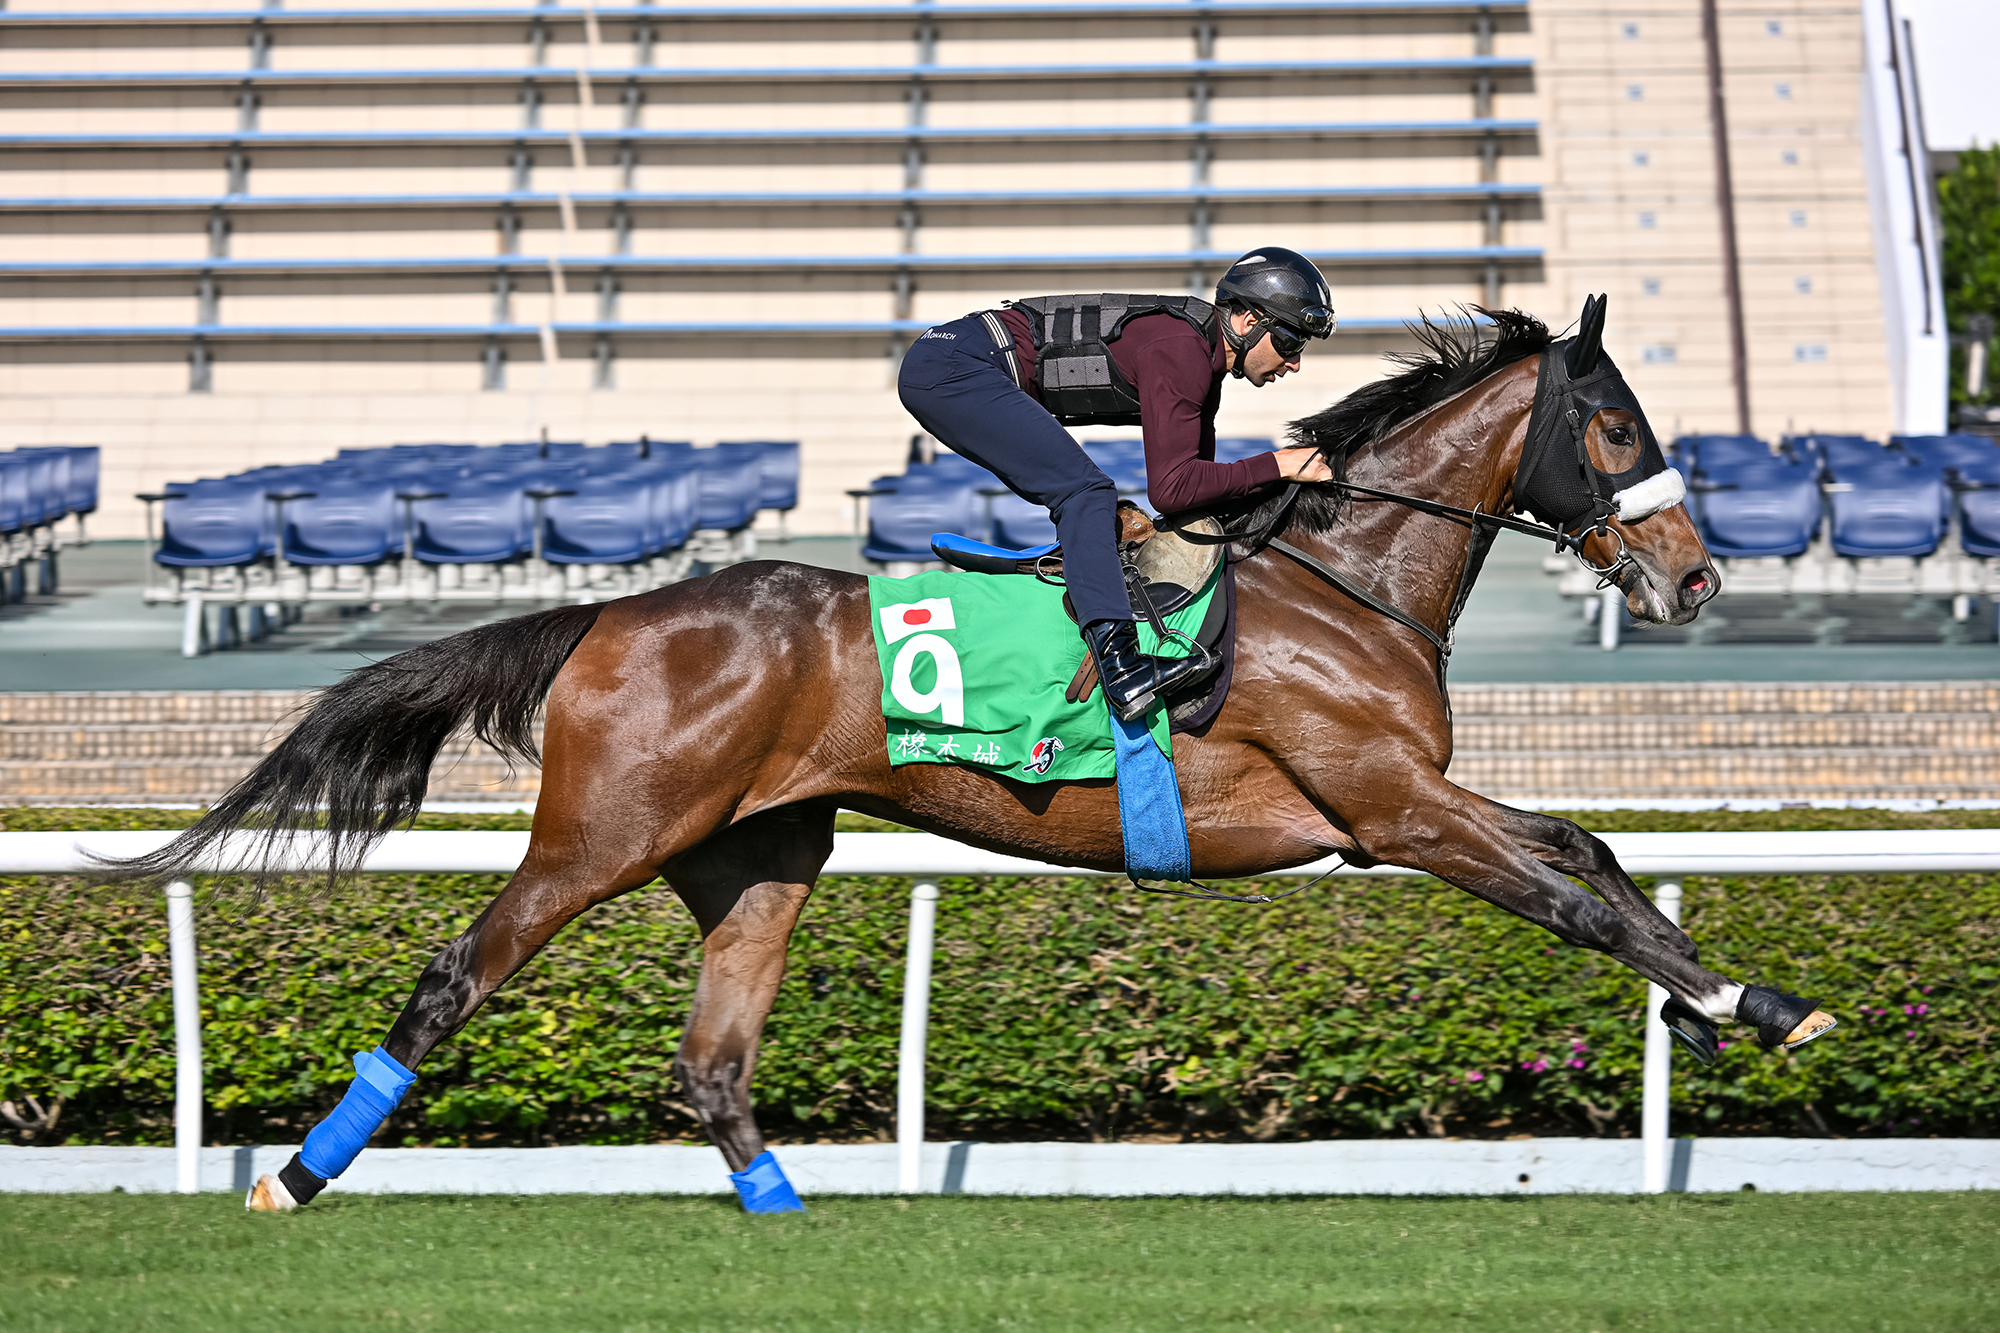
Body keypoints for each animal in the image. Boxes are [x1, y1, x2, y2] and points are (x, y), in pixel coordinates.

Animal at [117, 304, 1832, 1200]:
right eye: (1613, 428)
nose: (1696, 580)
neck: (1342, 578)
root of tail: (618, 607)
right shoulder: (1391, 808)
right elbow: (1571, 899)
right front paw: (1731, 1002)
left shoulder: (1404, 803)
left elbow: (1592, 850)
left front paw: (1757, 1001)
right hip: (603, 834)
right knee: (455, 977)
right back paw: (287, 1178)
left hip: (756, 854)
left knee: (713, 1056)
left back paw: (798, 1216)